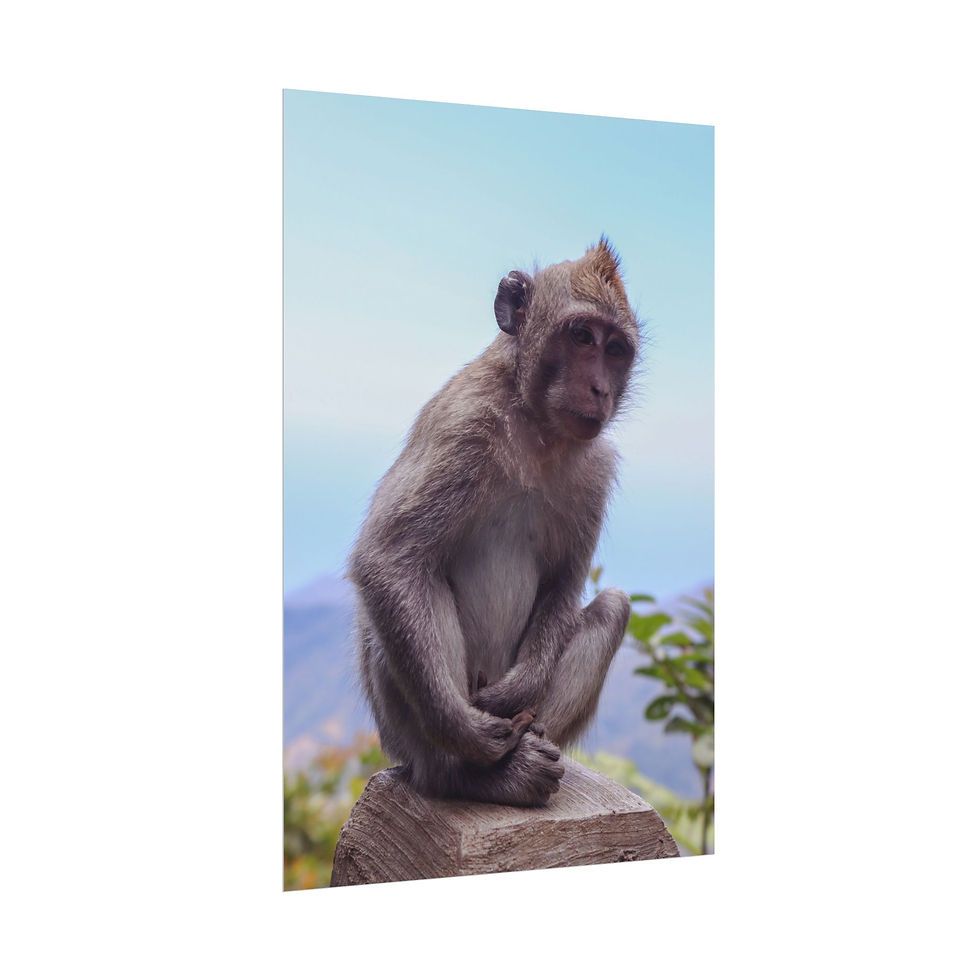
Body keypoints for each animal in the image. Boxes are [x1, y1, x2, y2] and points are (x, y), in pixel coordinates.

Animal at [348, 237, 641, 807]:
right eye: (581, 336)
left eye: (616, 349)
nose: (599, 389)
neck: (537, 429)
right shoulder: (462, 427)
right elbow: (388, 558)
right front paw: (467, 731)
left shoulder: (594, 471)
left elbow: (562, 583)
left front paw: (516, 692)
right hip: (403, 737)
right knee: (413, 589)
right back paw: (472, 773)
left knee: (613, 607)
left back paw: (530, 749)